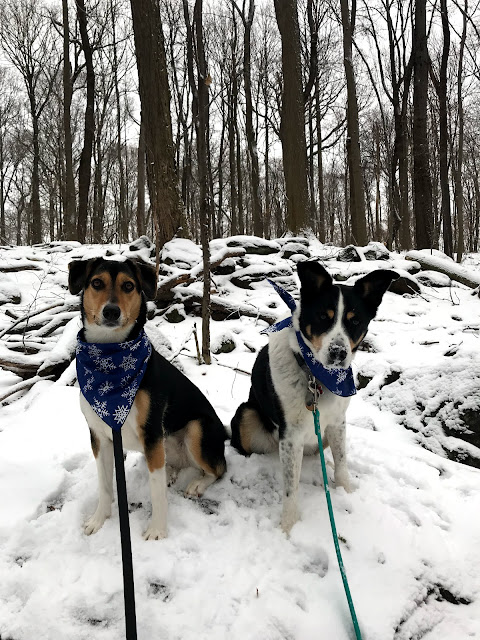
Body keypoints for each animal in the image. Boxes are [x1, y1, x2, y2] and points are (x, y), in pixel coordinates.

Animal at [69, 257, 227, 540]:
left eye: (128, 286)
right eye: (96, 283)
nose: (111, 311)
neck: (110, 360)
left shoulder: (151, 431)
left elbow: (156, 494)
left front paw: (157, 530)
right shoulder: (100, 436)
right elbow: (104, 486)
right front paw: (98, 520)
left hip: (197, 429)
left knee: (218, 468)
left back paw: (197, 483)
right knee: (171, 465)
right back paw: (171, 474)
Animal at [231, 260, 397, 534]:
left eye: (355, 321)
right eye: (323, 317)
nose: (338, 352)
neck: (317, 376)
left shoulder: (338, 422)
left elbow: (342, 463)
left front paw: (346, 491)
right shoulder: (290, 435)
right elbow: (291, 488)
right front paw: (288, 526)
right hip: (247, 413)